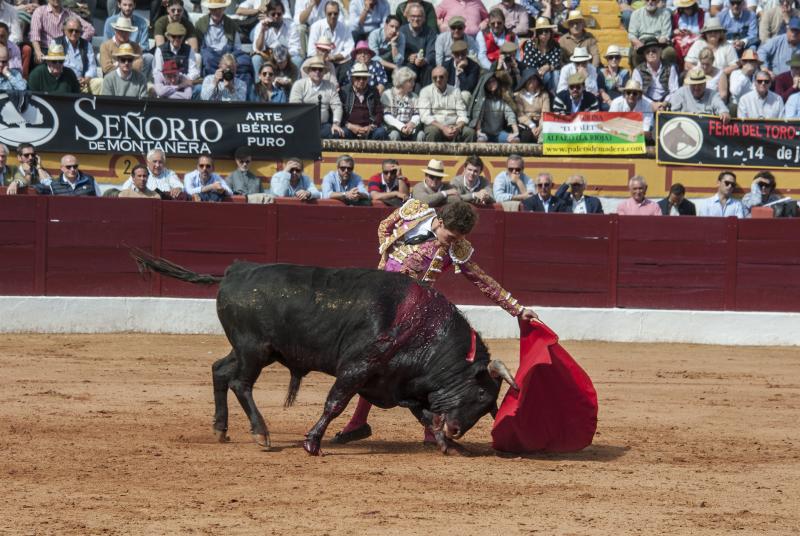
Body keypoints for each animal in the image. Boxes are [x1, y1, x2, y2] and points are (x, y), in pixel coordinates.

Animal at [131, 253, 520, 454]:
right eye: (481, 396)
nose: (457, 430)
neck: (422, 329)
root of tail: (234, 271)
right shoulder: (357, 368)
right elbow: (335, 403)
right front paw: (312, 442)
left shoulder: (395, 383)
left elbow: (424, 415)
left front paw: (446, 445)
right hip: (253, 349)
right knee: (241, 383)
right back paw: (261, 434)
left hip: (250, 349)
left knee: (220, 371)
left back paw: (220, 428)